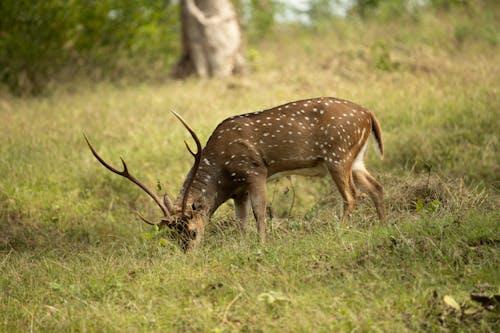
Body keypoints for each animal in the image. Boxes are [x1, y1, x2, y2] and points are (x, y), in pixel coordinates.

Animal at [84, 97, 384, 250]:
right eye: (172, 235)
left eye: (193, 232)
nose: (188, 255)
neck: (222, 173)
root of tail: (369, 114)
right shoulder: (237, 191)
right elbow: (242, 220)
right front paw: (242, 245)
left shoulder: (254, 171)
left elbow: (260, 211)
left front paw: (262, 245)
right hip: (356, 159)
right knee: (376, 187)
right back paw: (384, 224)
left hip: (338, 155)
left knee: (352, 196)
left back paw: (342, 232)